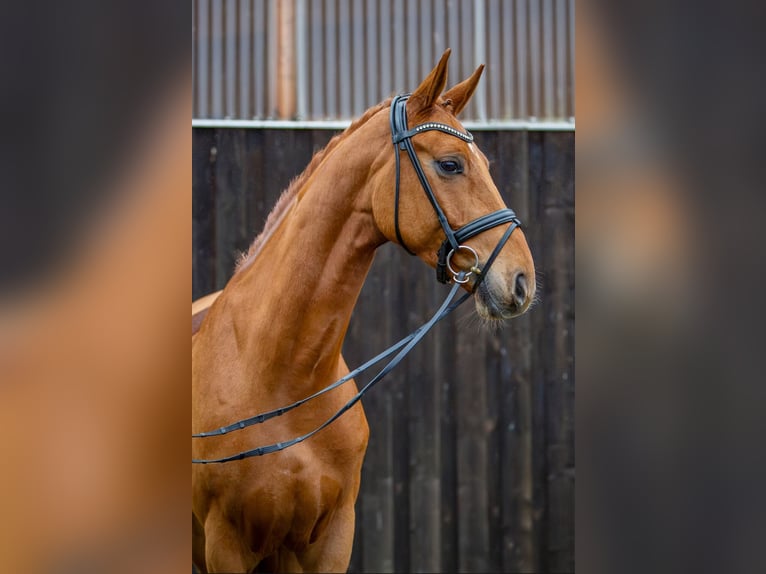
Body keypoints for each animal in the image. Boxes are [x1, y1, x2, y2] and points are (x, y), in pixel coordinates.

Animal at [194, 50, 540, 574]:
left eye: (485, 162)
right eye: (451, 164)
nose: (523, 281)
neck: (279, 377)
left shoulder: (332, 538)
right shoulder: (225, 546)